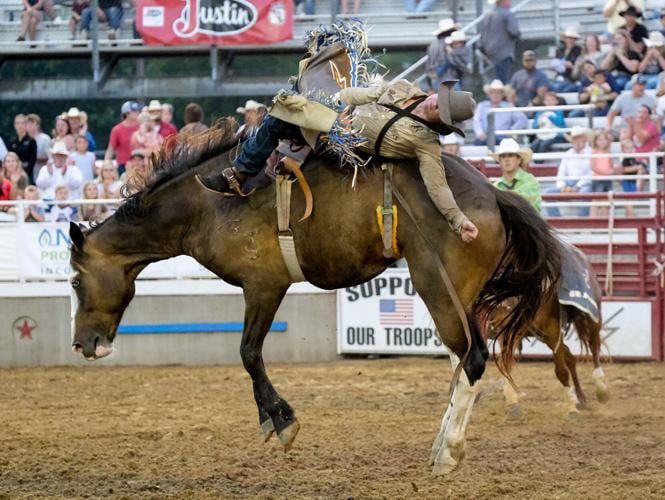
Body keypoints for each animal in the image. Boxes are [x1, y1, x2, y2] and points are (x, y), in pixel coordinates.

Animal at [68, 119, 560, 474]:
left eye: (74, 281)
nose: (82, 344)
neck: (204, 205)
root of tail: (493, 195)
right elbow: (250, 354)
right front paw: (272, 419)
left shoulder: (264, 285)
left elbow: (248, 352)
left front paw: (281, 421)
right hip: (458, 298)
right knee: (466, 360)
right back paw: (444, 442)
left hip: (438, 288)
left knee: (472, 360)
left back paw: (446, 454)